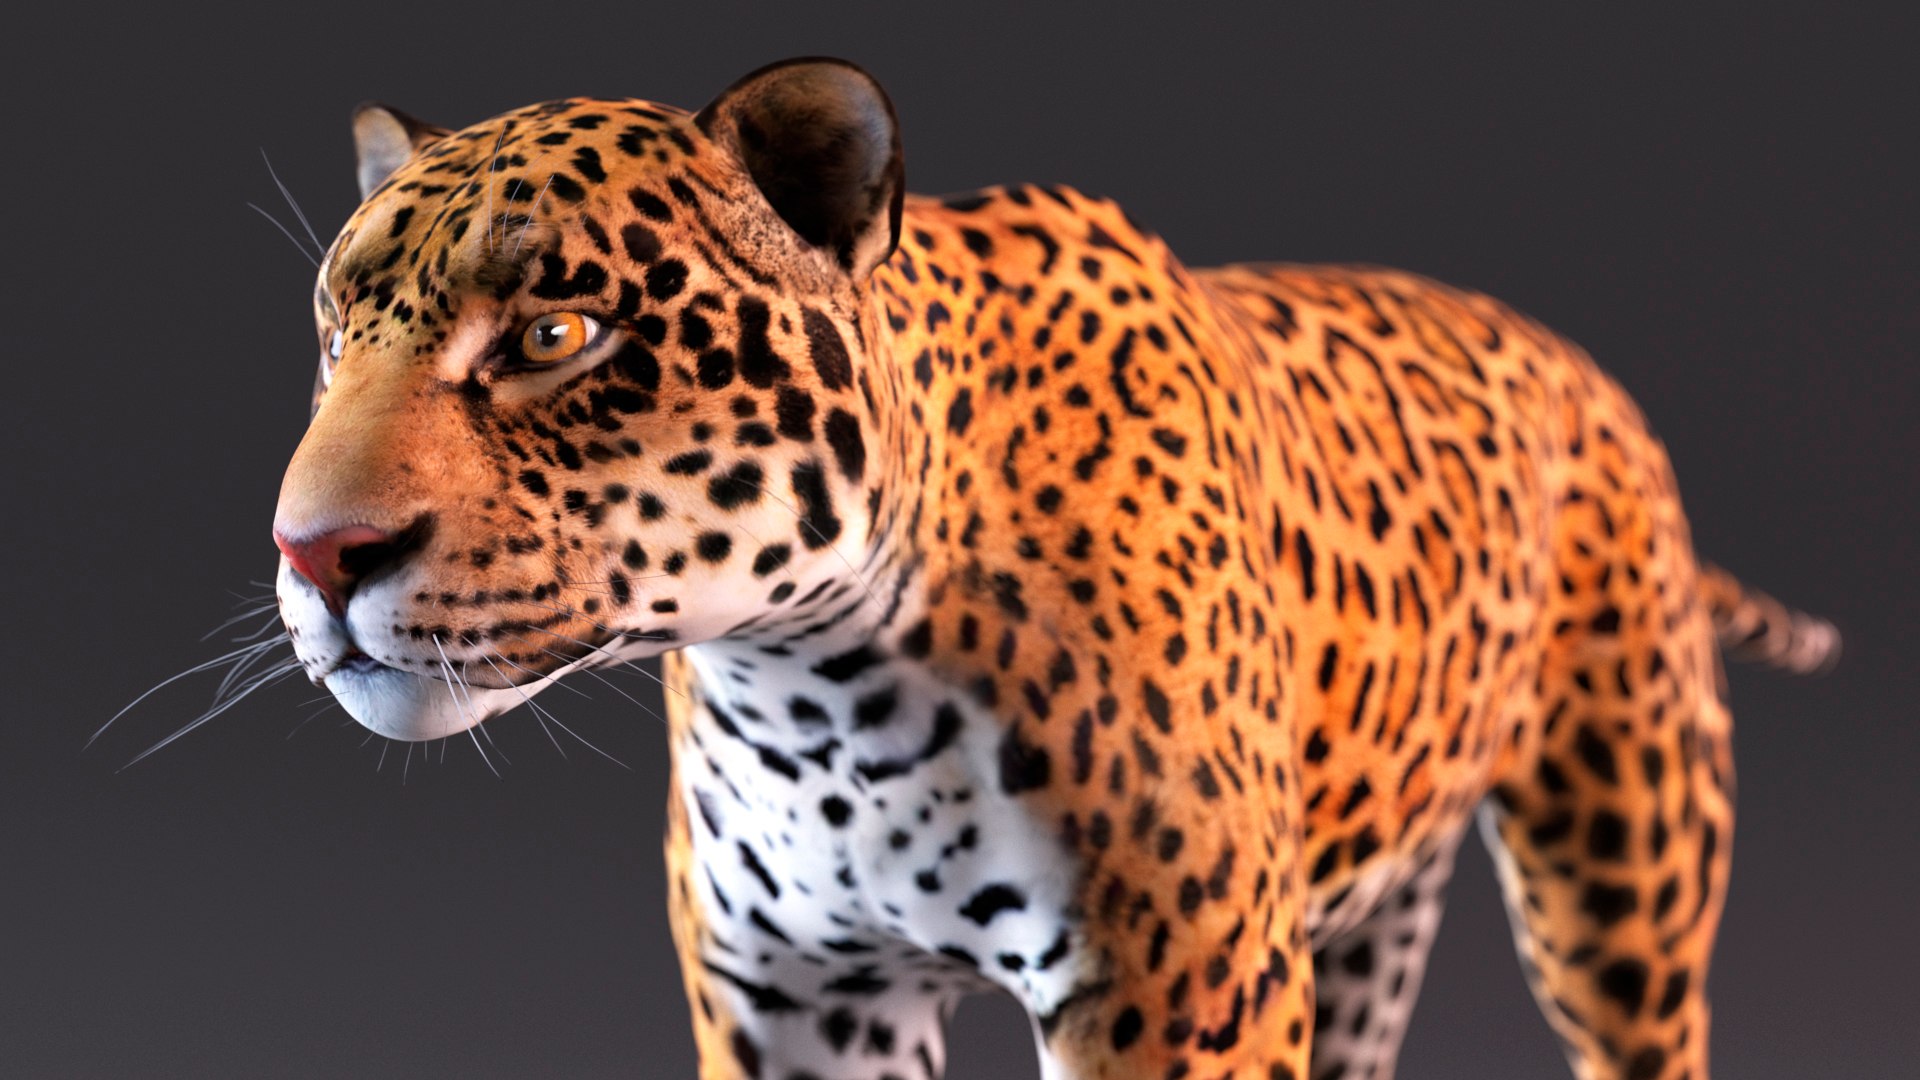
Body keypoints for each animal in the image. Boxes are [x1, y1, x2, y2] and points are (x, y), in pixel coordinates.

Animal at [271, 57, 1840, 1080]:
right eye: (336, 332)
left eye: (555, 336)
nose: (314, 553)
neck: (820, 698)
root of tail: (1582, 367)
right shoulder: (794, 1006)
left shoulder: (1183, 998)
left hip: (1620, 873)